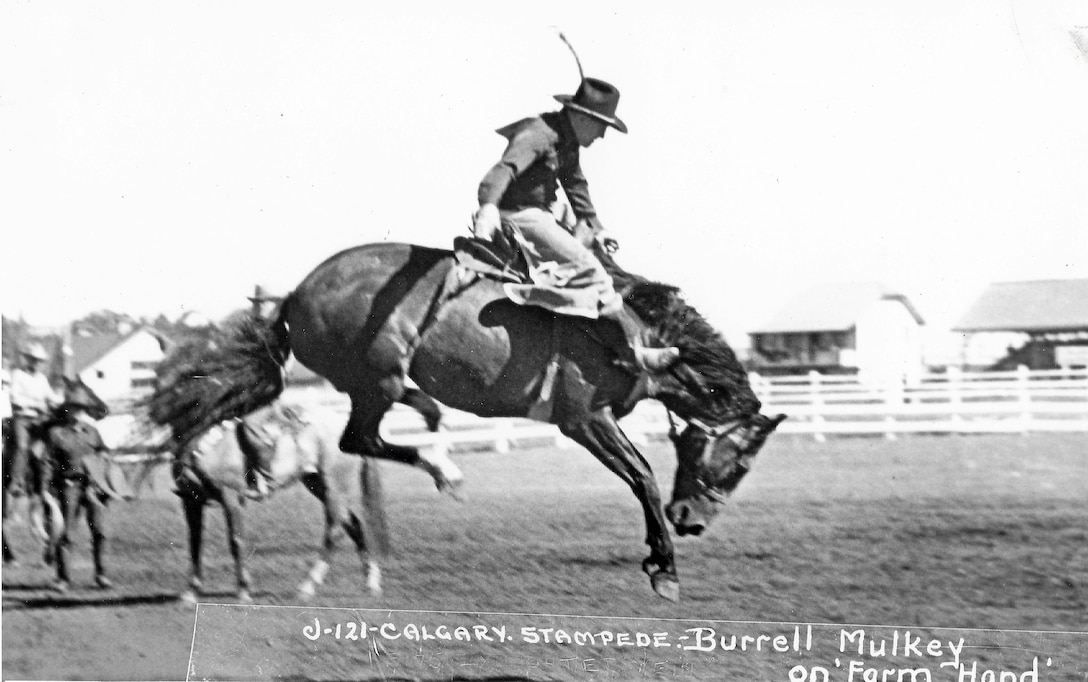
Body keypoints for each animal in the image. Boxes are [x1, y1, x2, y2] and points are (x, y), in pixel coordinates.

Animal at [2, 374, 108, 565]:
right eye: (88, 390)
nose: (104, 409)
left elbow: (49, 520)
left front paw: (49, 552)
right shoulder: (45, 486)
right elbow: (52, 519)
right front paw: (49, 550)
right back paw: (10, 557)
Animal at [149, 241, 787, 604]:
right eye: (741, 463)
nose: (693, 521)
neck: (631, 332)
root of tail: (291, 298)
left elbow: (641, 476)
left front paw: (662, 557)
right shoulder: (584, 419)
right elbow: (643, 476)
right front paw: (664, 567)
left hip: (379, 383)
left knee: (406, 417)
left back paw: (440, 455)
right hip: (378, 378)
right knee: (361, 436)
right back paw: (442, 467)